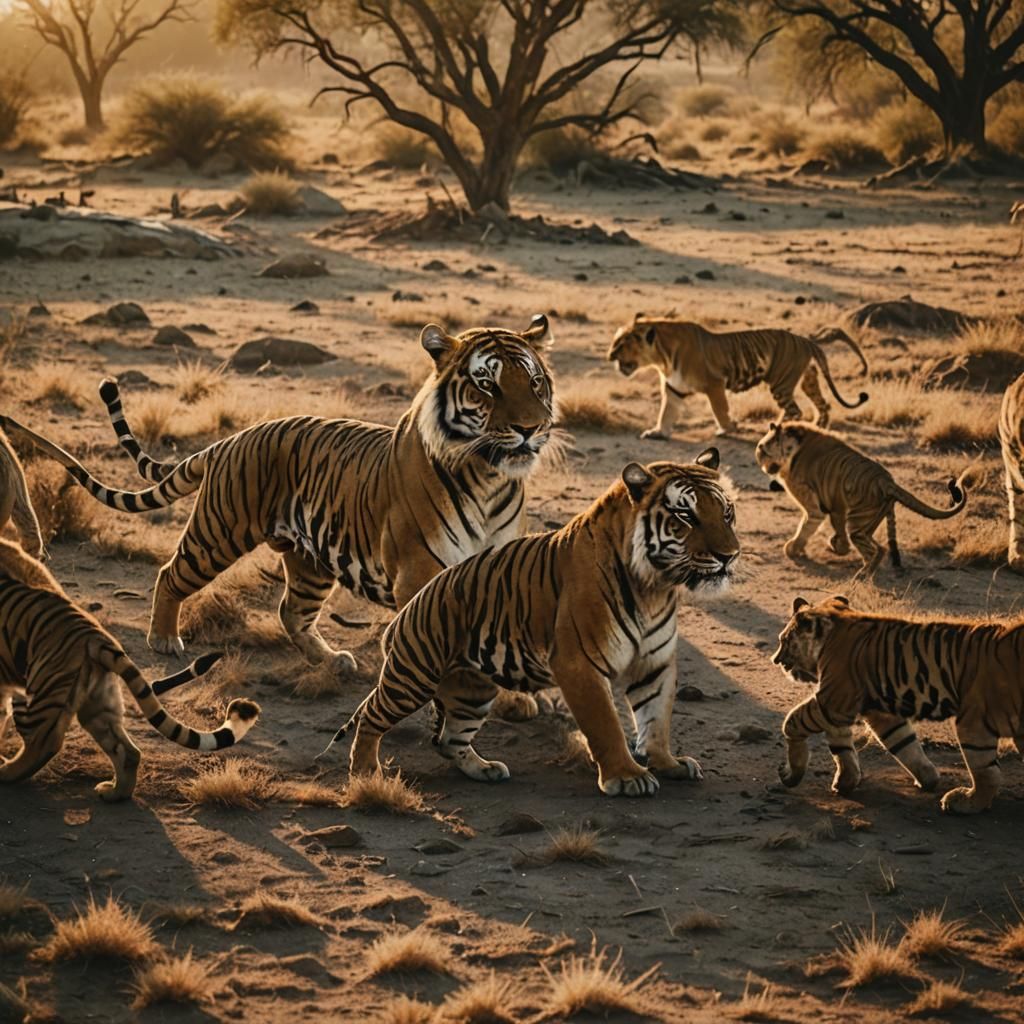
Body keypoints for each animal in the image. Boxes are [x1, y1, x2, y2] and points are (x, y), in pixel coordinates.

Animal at [0, 537, 260, 800]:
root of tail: (96, 637)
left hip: (39, 691)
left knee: (42, 743)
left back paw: (6, 771)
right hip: (98, 704)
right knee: (129, 752)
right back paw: (114, 793)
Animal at [318, 451, 740, 797]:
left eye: (727, 513)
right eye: (686, 516)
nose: (730, 555)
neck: (654, 586)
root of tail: (408, 608)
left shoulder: (654, 663)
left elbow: (656, 720)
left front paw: (668, 764)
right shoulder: (579, 664)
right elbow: (605, 724)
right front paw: (626, 776)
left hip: (473, 687)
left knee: (450, 740)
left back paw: (485, 769)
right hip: (414, 676)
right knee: (371, 716)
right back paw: (366, 772)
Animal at [607, 314, 869, 439]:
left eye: (621, 344)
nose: (609, 355)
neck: (662, 358)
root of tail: (806, 340)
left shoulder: (714, 384)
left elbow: (719, 409)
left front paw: (727, 428)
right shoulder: (674, 389)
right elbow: (666, 412)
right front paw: (658, 433)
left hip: (781, 383)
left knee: (795, 410)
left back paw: (776, 430)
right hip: (807, 379)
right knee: (823, 405)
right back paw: (819, 428)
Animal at [755, 421, 971, 573]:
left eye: (762, 449)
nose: (762, 466)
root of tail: (888, 481)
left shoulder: (815, 507)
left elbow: (805, 527)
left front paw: (793, 549)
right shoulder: (836, 504)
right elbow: (834, 527)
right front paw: (835, 545)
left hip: (858, 523)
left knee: (875, 551)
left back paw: (862, 575)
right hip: (867, 523)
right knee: (880, 547)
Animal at [772, 593, 1024, 814]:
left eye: (784, 640)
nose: (775, 660)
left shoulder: (833, 701)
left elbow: (792, 722)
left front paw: (791, 775)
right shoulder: (877, 713)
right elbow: (902, 745)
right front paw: (927, 779)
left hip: (975, 720)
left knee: (986, 771)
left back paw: (965, 802)